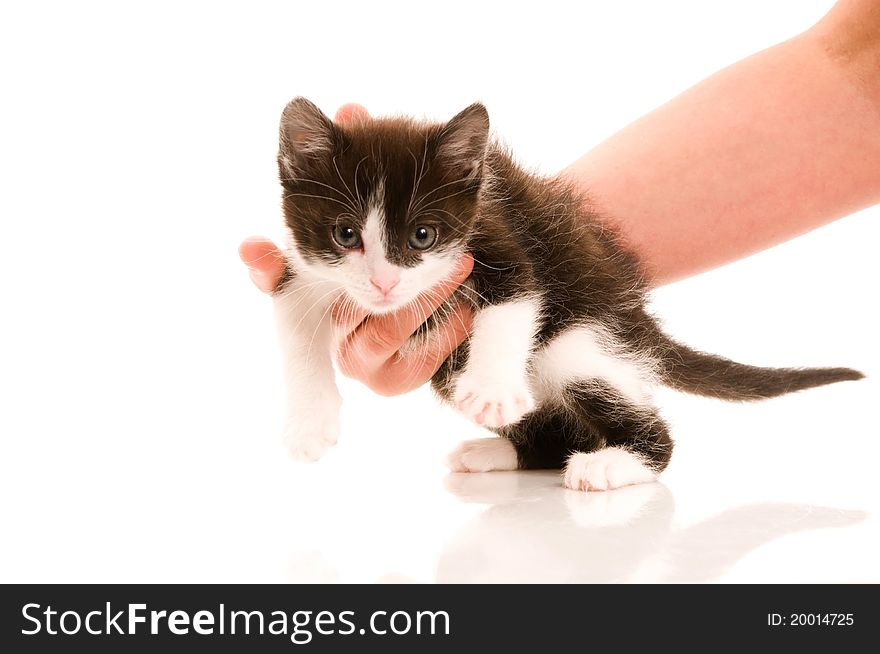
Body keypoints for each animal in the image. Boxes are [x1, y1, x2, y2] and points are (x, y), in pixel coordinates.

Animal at [272, 98, 864, 492]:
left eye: (423, 235)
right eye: (345, 234)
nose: (384, 283)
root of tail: (635, 314)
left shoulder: (500, 236)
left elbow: (515, 297)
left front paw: (491, 390)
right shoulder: (303, 270)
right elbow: (294, 326)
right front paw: (309, 423)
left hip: (580, 339)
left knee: (630, 412)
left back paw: (614, 463)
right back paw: (502, 451)